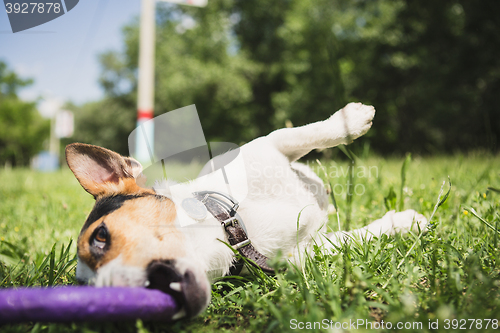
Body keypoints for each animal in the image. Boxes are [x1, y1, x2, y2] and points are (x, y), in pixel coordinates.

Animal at [65, 102, 426, 320]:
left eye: (100, 236)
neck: (233, 227)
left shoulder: (268, 146)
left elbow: (303, 134)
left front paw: (352, 119)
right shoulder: (308, 251)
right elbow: (356, 238)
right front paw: (403, 222)